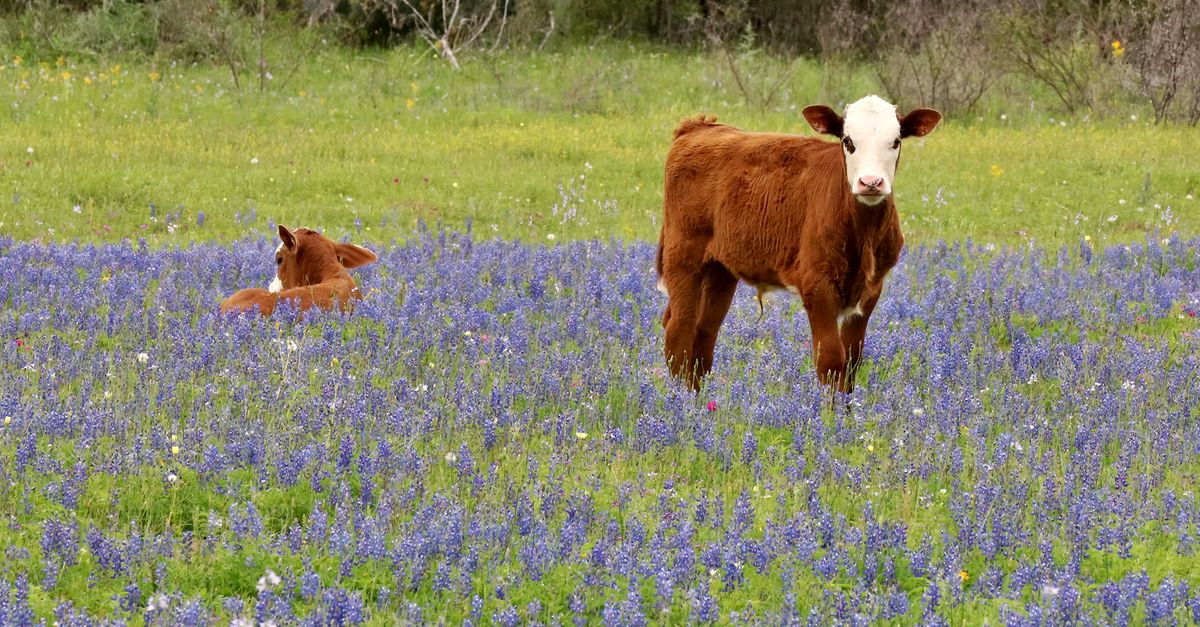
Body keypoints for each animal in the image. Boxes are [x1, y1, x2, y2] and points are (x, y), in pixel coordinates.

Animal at [656, 95, 941, 393]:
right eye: (848, 141)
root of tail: (699, 127)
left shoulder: (872, 287)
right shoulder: (817, 284)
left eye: (896, 141)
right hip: (683, 258)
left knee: (703, 335)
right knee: (679, 331)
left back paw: (696, 399)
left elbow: (853, 358)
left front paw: (848, 406)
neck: (863, 234)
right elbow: (831, 359)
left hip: (720, 270)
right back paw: (678, 397)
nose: (871, 182)